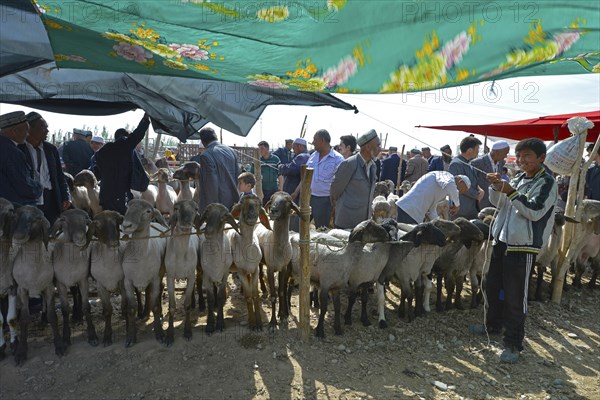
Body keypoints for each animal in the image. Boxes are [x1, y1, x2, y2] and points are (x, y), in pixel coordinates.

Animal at [11, 206, 63, 366]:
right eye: (17, 215)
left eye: (36, 219)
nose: (18, 235)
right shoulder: (22, 290)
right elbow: (24, 319)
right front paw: (21, 352)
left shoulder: (49, 288)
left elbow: (53, 316)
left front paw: (59, 345)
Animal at [120, 200, 169, 346]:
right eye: (128, 207)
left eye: (148, 211)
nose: (126, 225)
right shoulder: (128, 281)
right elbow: (131, 308)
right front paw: (131, 337)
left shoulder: (155, 278)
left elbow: (156, 306)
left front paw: (160, 333)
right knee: (146, 292)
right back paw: (145, 312)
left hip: (159, 274)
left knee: (159, 289)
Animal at [199, 203, 241, 334]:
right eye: (207, 214)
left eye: (223, 217)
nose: (208, 231)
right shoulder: (207, 275)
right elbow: (210, 298)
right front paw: (209, 325)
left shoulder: (225, 274)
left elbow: (221, 296)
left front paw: (220, 323)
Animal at [254, 193, 298, 328]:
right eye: (272, 199)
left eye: (288, 201)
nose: (273, 210)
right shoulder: (270, 268)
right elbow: (274, 296)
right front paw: (273, 323)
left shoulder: (283, 268)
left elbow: (281, 292)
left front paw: (282, 316)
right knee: (260, 272)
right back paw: (263, 290)